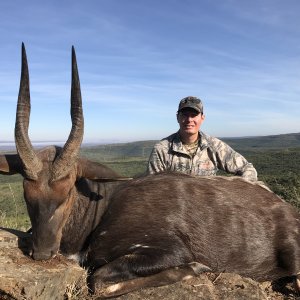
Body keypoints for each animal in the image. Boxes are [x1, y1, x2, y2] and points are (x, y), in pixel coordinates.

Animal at [0, 44, 300, 298]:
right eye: (28, 196)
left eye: (66, 194)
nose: (42, 253)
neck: (105, 205)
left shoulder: (170, 250)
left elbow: (98, 281)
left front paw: (196, 269)